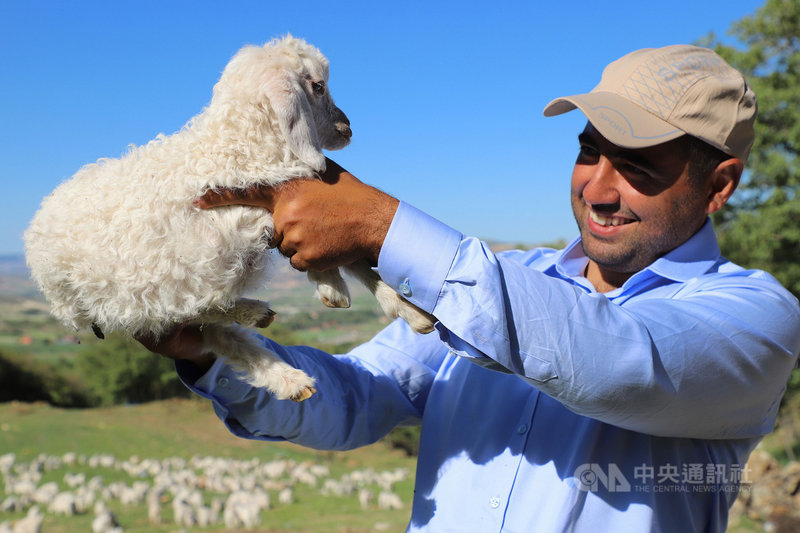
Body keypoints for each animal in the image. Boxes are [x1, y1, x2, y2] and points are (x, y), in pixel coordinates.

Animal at [25, 35, 434, 402]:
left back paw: (285, 373)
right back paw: (258, 323)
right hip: (136, 290)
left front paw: (404, 308)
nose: (347, 127)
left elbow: (353, 255)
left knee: (206, 328)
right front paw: (331, 286)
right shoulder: (238, 217)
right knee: (196, 315)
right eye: (318, 86)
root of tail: (36, 225)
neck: (237, 146)